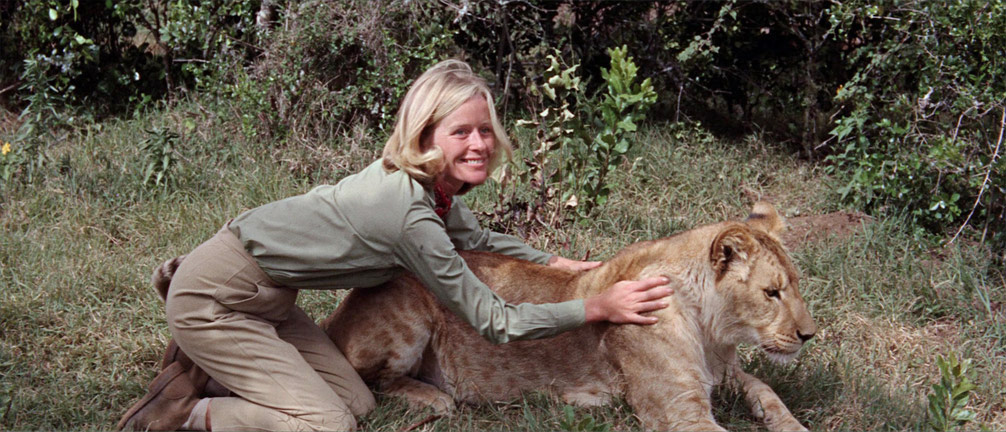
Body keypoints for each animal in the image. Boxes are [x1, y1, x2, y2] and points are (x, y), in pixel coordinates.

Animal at [321, 202, 816, 430]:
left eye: (795, 284)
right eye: (771, 293)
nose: (808, 335)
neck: (713, 331)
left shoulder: (725, 375)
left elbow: (768, 390)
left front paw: (793, 424)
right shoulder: (677, 410)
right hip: (408, 314)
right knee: (374, 380)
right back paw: (434, 398)